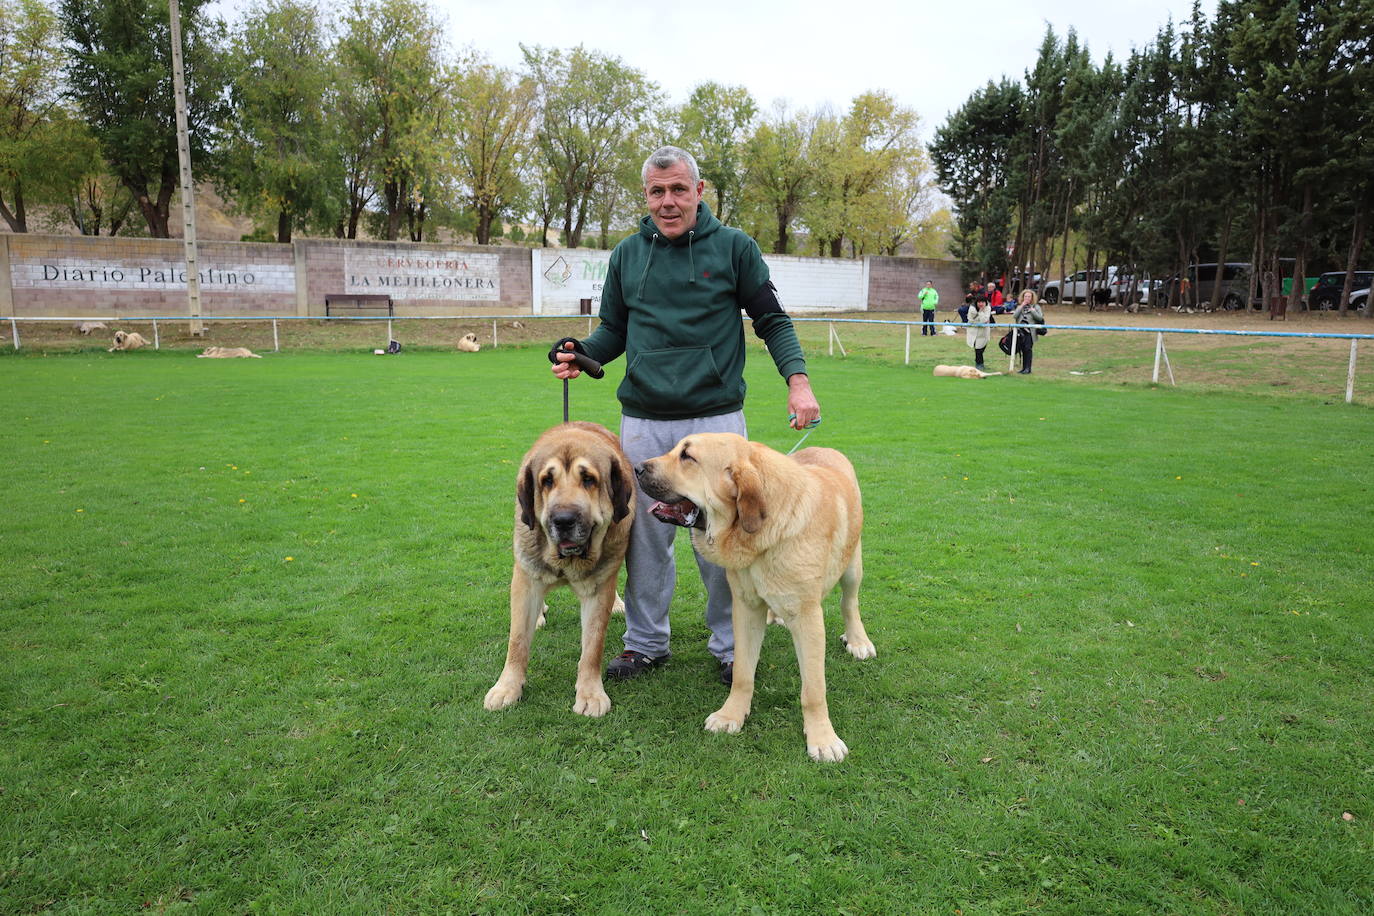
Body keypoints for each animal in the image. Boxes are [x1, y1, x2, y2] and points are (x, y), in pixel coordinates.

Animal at [634, 433, 873, 763]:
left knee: (849, 603)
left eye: (687, 457)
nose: (636, 468)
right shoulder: (745, 609)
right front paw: (731, 715)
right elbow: (743, 674)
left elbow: (813, 690)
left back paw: (858, 640)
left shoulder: (808, 618)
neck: (765, 536)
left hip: (852, 567)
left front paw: (823, 738)